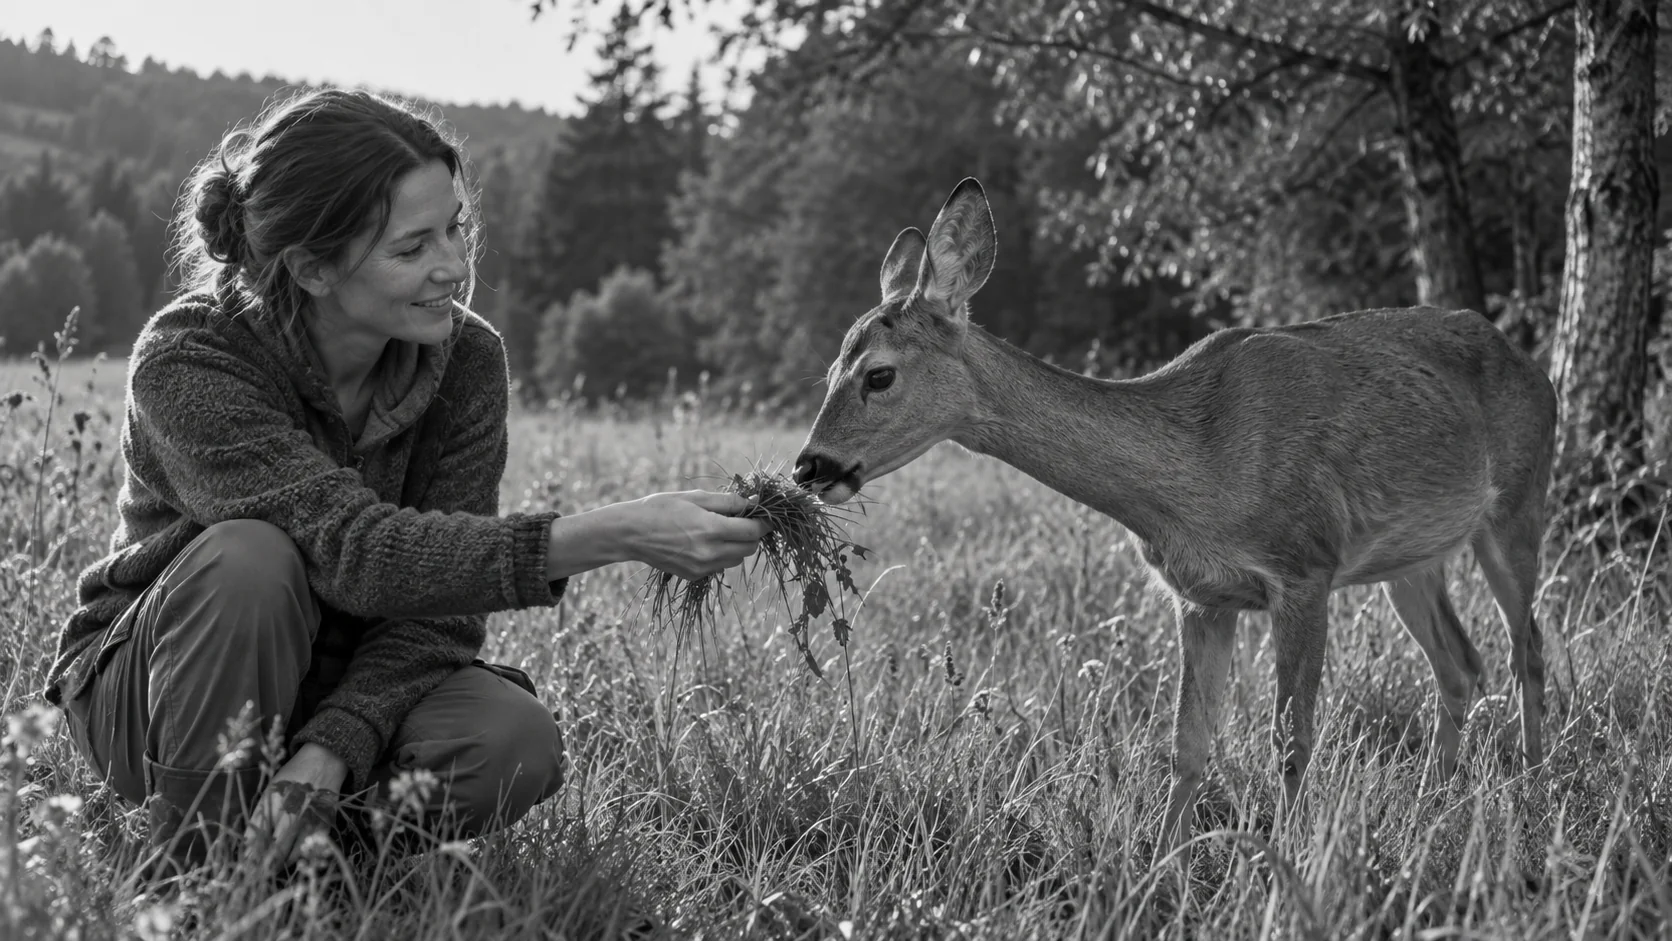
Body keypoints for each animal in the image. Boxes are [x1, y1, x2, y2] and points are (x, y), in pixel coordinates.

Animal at [792, 177, 1558, 852]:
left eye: (879, 373)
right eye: (829, 369)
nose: (808, 466)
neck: (1196, 474)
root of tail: (1531, 361)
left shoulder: (1303, 567)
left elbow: (1290, 738)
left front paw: (1287, 864)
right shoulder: (1201, 596)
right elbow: (1186, 746)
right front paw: (1159, 866)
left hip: (1520, 504)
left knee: (1527, 648)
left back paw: (1532, 788)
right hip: (1410, 557)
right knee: (1461, 662)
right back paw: (1440, 796)